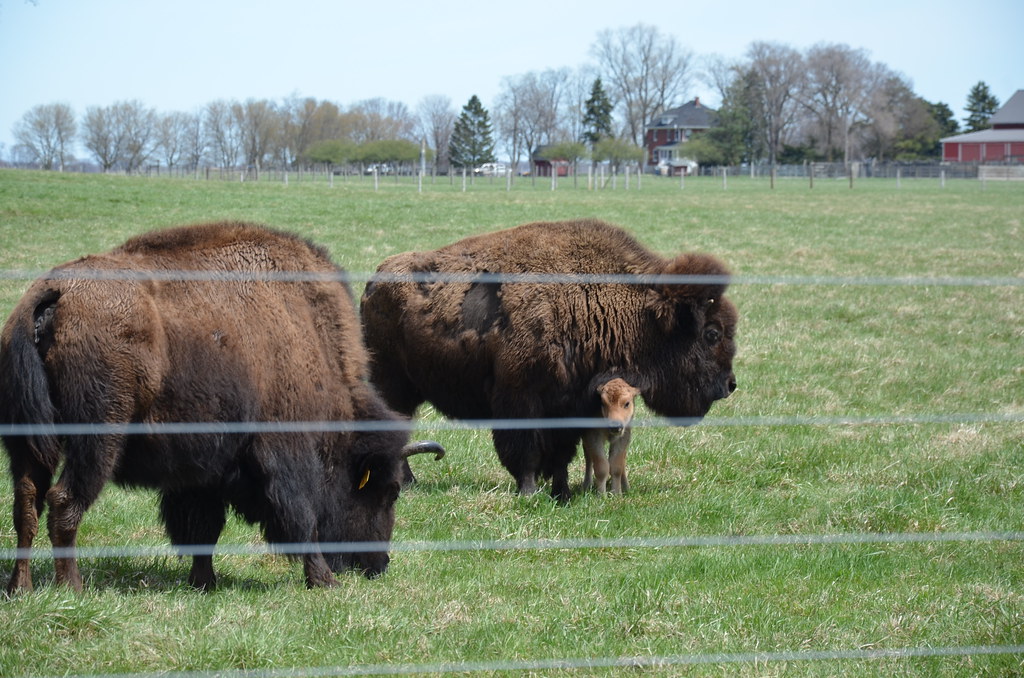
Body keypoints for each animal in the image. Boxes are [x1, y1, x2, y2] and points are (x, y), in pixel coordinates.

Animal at [0, 221, 443, 592]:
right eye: (388, 491)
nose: (378, 565)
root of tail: (54, 293)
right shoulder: (285, 454)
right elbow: (302, 519)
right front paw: (324, 580)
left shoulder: (201, 470)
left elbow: (203, 528)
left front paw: (204, 582)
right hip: (96, 441)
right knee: (63, 501)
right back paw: (71, 588)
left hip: (26, 442)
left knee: (26, 504)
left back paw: (20, 588)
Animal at [360, 219, 738, 501]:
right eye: (712, 333)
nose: (730, 384)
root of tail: (373, 283)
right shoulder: (521, 399)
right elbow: (526, 450)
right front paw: (528, 492)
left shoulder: (570, 405)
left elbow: (561, 455)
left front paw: (562, 493)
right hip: (391, 386)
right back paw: (406, 482)